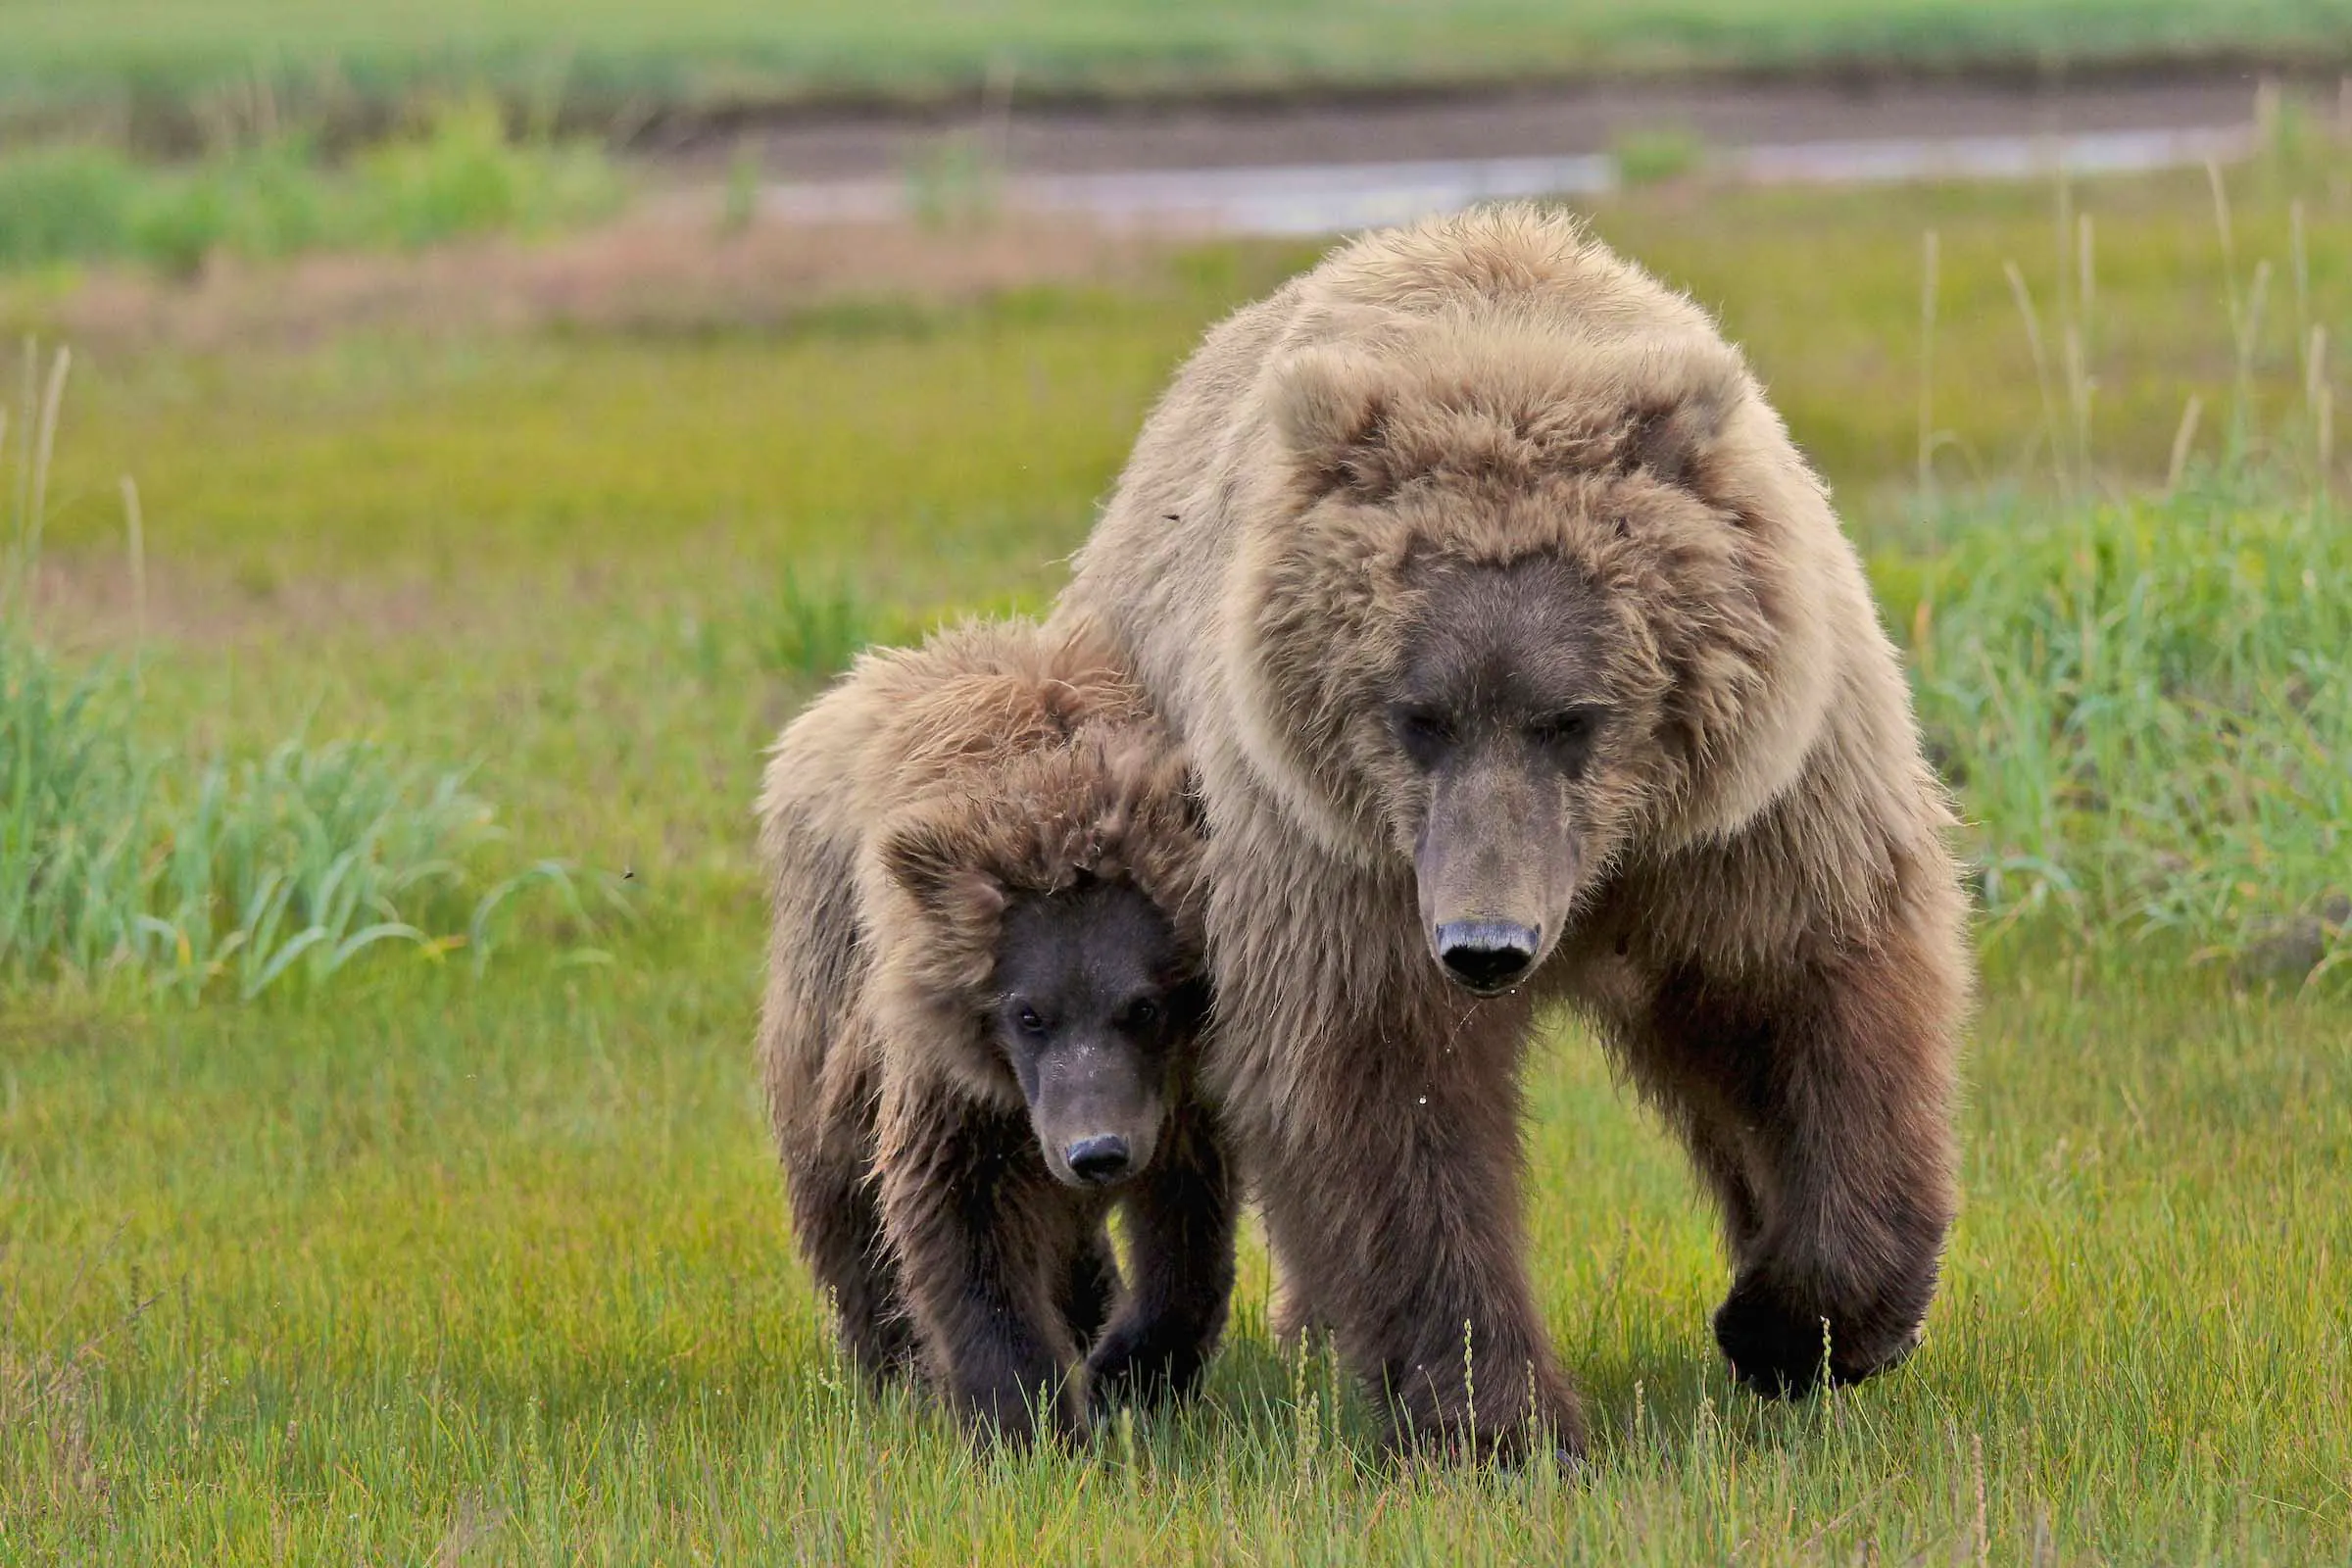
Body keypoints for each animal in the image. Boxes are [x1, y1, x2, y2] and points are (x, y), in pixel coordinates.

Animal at [755, 617, 1236, 1445]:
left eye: (1144, 1005)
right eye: (1028, 1012)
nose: (1097, 1153)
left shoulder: (1177, 1090)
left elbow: (1188, 1222)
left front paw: (1129, 1373)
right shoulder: (953, 1080)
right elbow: (958, 1215)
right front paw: (1032, 1419)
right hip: (823, 993)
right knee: (836, 1182)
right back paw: (889, 1362)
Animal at [1048, 202, 1971, 1461]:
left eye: (1571, 716)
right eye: (1418, 714)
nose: (1487, 945)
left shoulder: (1755, 814)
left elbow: (1822, 997)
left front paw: (1795, 1322)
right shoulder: (1340, 862)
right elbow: (1386, 1096)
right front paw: (1501, 1416)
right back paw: (1169, 1343)